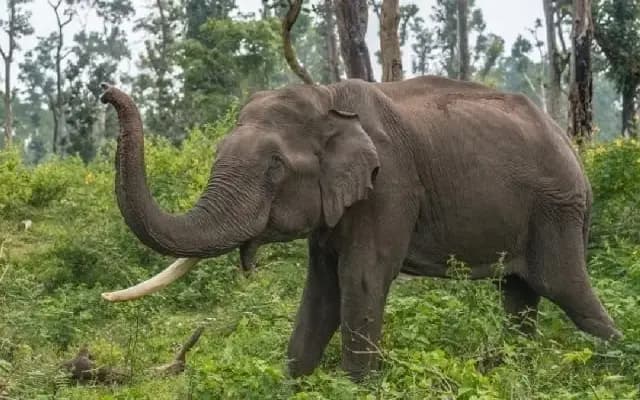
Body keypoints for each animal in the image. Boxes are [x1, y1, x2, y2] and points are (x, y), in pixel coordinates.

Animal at [98, 76, 621, 380]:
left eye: (274, 168)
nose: (106, 92)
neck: (327, 99)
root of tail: (573, 146)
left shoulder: (389, 185)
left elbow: (361, 278)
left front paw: (357, 385)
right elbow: (321, 288)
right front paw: (295, 380)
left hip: (557, 210)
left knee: (566, 289)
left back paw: (614, 361)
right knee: (518, 294)